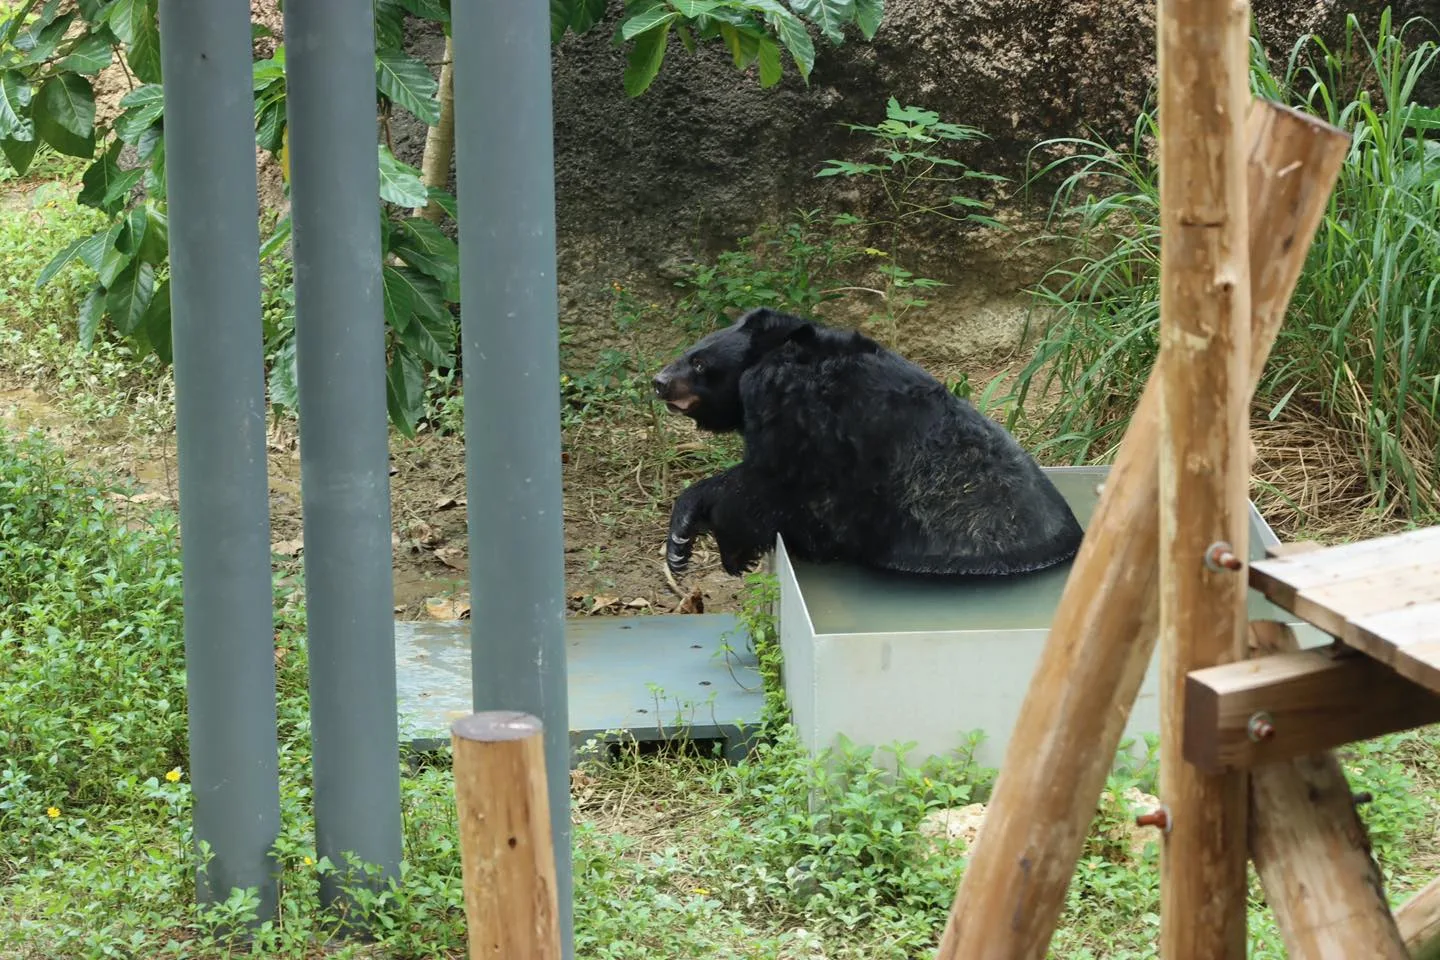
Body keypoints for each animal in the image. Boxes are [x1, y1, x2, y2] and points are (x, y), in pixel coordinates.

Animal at [650, 307, 1085, 579]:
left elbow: (770, 487)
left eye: (699, 363)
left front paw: (689, 537)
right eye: (688, 352)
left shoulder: (803, 419)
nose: (658, 381)